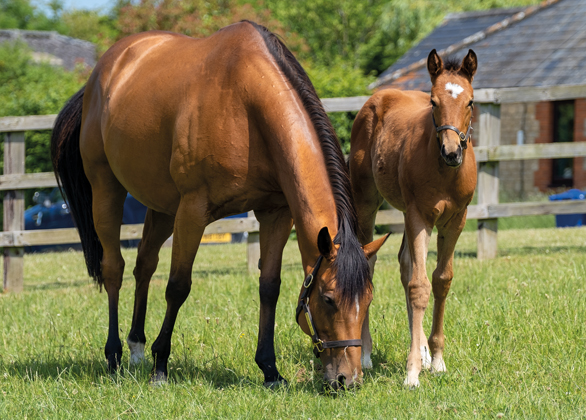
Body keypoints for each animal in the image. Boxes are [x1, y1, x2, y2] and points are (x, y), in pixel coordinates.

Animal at [51, 21, 388, 388]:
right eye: (328, 299)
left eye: (368, 300)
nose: (347, 379)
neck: (246, 103)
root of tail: (103, 72)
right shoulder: (193, 210)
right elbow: (178, 286)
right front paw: (160, 366)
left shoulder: (276, 213)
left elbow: (269, 286)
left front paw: (270, 370)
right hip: (106, 189)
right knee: (115, 268)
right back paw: (113, 357)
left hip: (162, 207)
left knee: (145, 265)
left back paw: (136, 347)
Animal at [346, 48, 474, 388]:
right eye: (433, 102)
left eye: (470, 101)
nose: (452, 152)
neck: (444, 172)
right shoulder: (420, 216)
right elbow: (419, 286)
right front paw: (412, 372)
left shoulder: (456, 220)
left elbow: (440, 280)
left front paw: (436, 359)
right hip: (367, 202)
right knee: (370, 262)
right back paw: (366, 354)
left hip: (405, 213)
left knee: (405, 263)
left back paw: (424, 352)